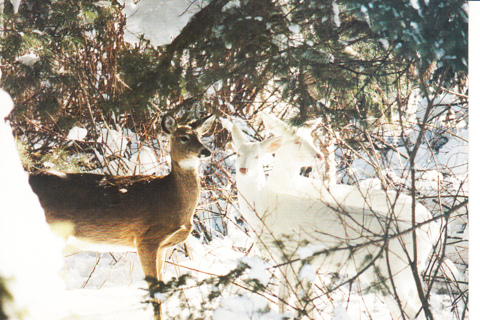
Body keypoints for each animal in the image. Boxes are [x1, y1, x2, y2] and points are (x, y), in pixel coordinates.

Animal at [26, 115, 214, 320]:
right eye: (183, 137)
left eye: (199, 136)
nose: (206, 151)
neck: (172, 198)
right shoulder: (146, 239)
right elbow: (154, 291)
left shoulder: (164, 246)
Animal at [231, 122, 440, 320]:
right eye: (238, 153)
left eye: (258, 156)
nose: (243, 169)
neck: (263, 203)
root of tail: (432, 230)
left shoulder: (289, 253)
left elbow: (285, 298)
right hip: (405, 273)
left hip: (392, 271)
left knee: (412, 310)